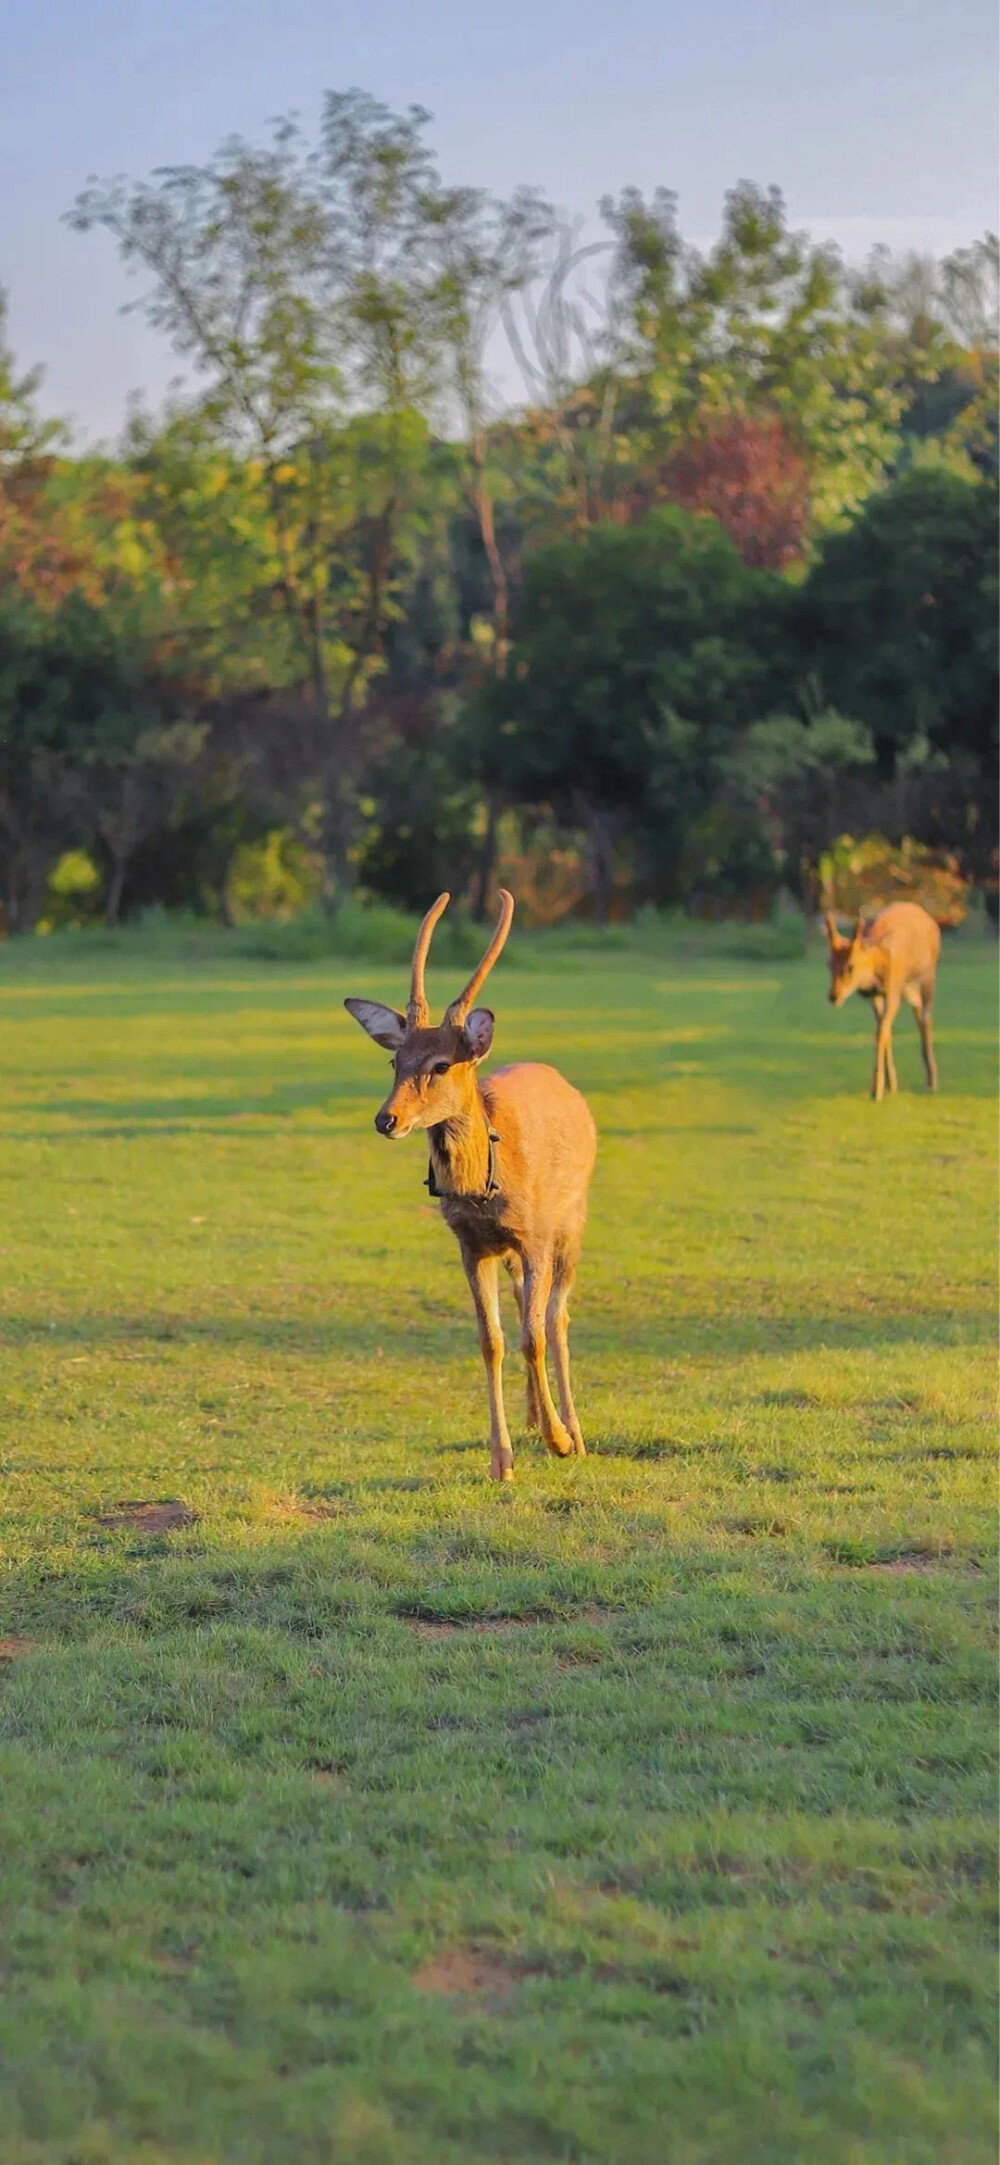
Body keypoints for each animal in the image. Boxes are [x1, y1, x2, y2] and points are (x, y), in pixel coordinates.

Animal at [346, 887, 593, 1480]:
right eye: (394, 1060)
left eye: (440, 1065)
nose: (386, 1119)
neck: (486, 1186)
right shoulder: (470, 1244)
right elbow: (492, 1341)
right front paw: (501, 1460)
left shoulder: (535, 1236)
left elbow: (533, 1335)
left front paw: (558, 1441)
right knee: (530, 1307)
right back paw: (535, 1417)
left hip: (572, 1222)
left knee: (558, 1316)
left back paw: (573, 1430)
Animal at [822, 900, 939, 1099]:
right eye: (829, 964)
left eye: (850, 966)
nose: (833, 996)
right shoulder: (876, 996)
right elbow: (884, 1031)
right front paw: (890, 1084)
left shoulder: (893, 990)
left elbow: (881, 1032)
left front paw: (876, 1090)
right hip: (911, 989)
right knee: (919, 1015)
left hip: (928, 976)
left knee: (926, 1017)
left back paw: (932, 1080)